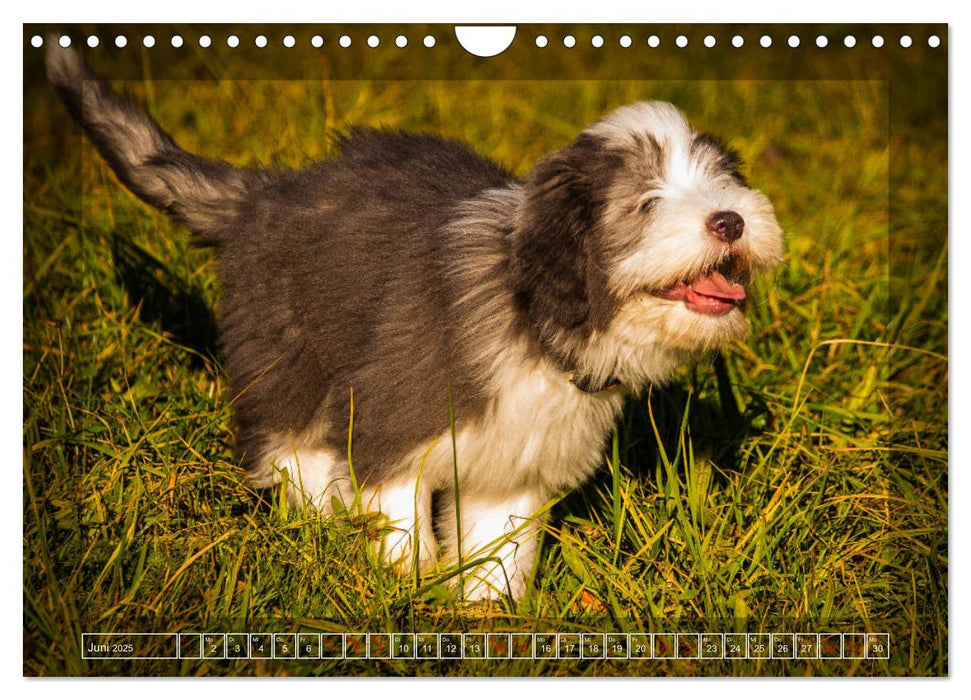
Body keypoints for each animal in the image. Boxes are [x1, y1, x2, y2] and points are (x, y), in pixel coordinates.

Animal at [49, 43, 784, 600]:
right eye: (646, 201)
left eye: (722, 180)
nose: (731, 219)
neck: (532, 319)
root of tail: (263, 193)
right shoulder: (396, 422)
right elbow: (400, 521)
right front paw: (410, 595)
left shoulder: (515, 463)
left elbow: (498, 549)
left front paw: (485, 618)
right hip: (286, 351)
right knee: (290, 447)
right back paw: (320, 526)